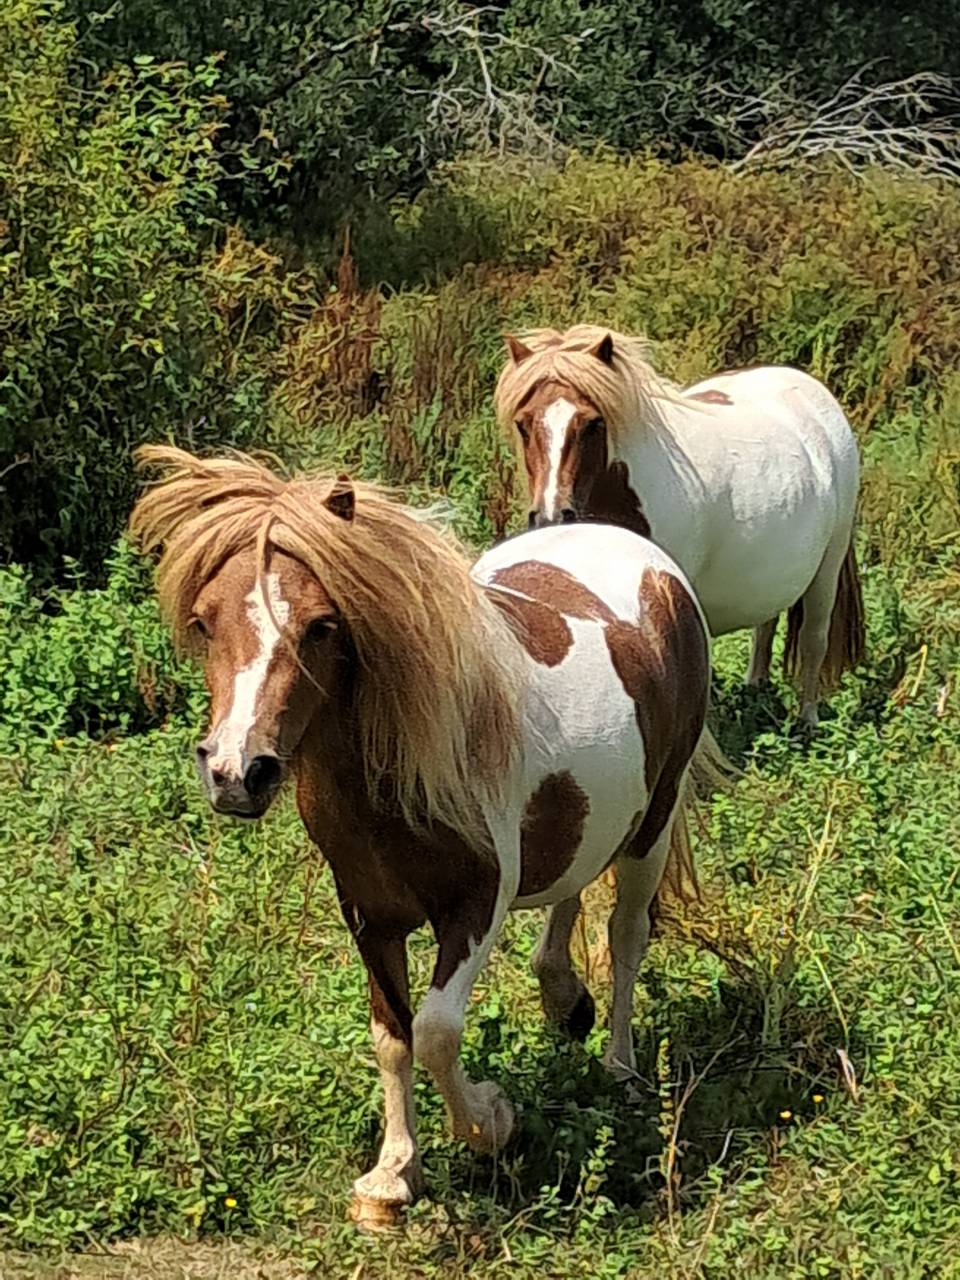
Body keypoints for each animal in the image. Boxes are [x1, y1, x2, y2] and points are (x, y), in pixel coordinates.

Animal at [130, 445, 721, 1228]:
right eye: (203, 621)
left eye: (321, 625)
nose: (237, 772)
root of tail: (651, 566)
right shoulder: (368, 915)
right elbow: (393, 1037)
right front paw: (391, 1177)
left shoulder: (475, 908)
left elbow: (438, 1031)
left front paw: (491, 1123)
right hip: (592, 815)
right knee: (572, 885)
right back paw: (566, 1000)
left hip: (652, 824)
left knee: (626, 937)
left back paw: (619, 1067)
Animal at [495, 325, 865, 726]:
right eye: (523, 424)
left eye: (594, 423)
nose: (551, 515)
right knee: (765, 626)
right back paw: (755, 688)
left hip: (828, 566)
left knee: (815, 638)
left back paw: (806, 720)